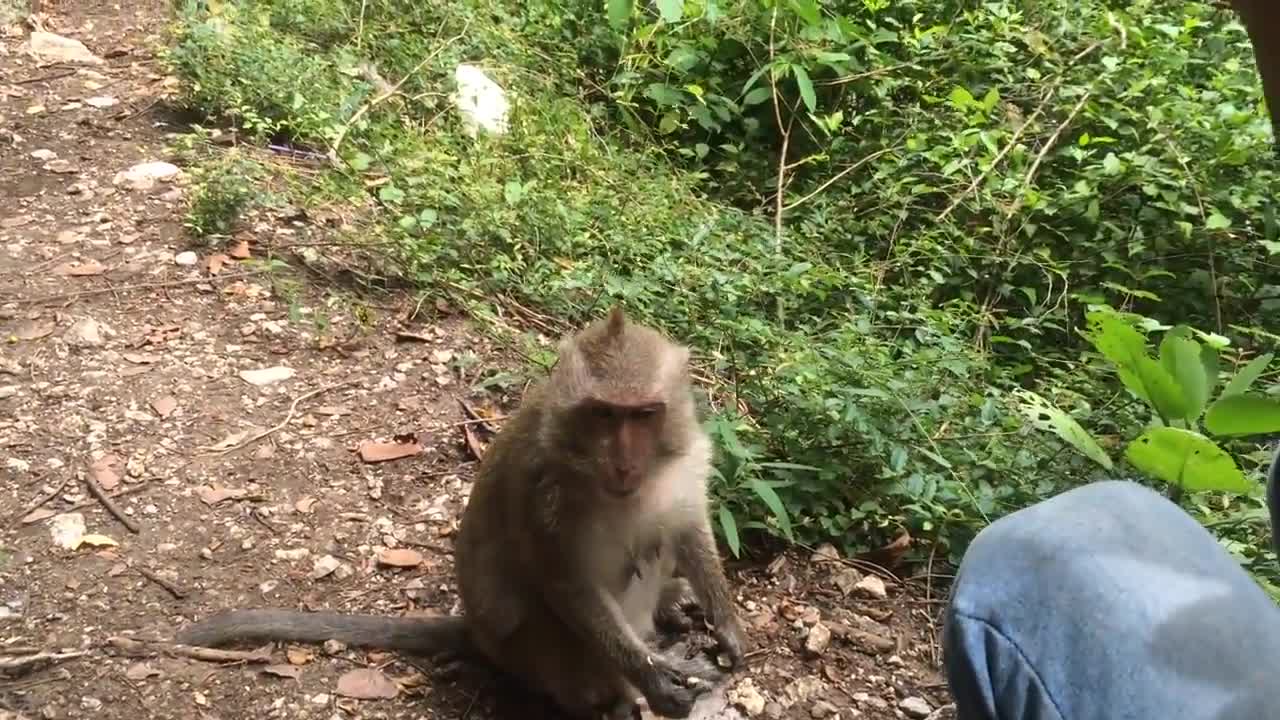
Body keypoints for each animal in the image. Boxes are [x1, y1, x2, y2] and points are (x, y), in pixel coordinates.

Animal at [175, 307, 747, 717]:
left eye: (644, 414)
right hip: (537, 654)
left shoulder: (686, 458)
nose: (625, 463)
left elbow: (688, 529)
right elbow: (564, 582)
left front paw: (727, 624)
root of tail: (474, 631)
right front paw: (652, 675)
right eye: (604, 415)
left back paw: (670, 606)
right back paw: (621, 692)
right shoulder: (545, 488)